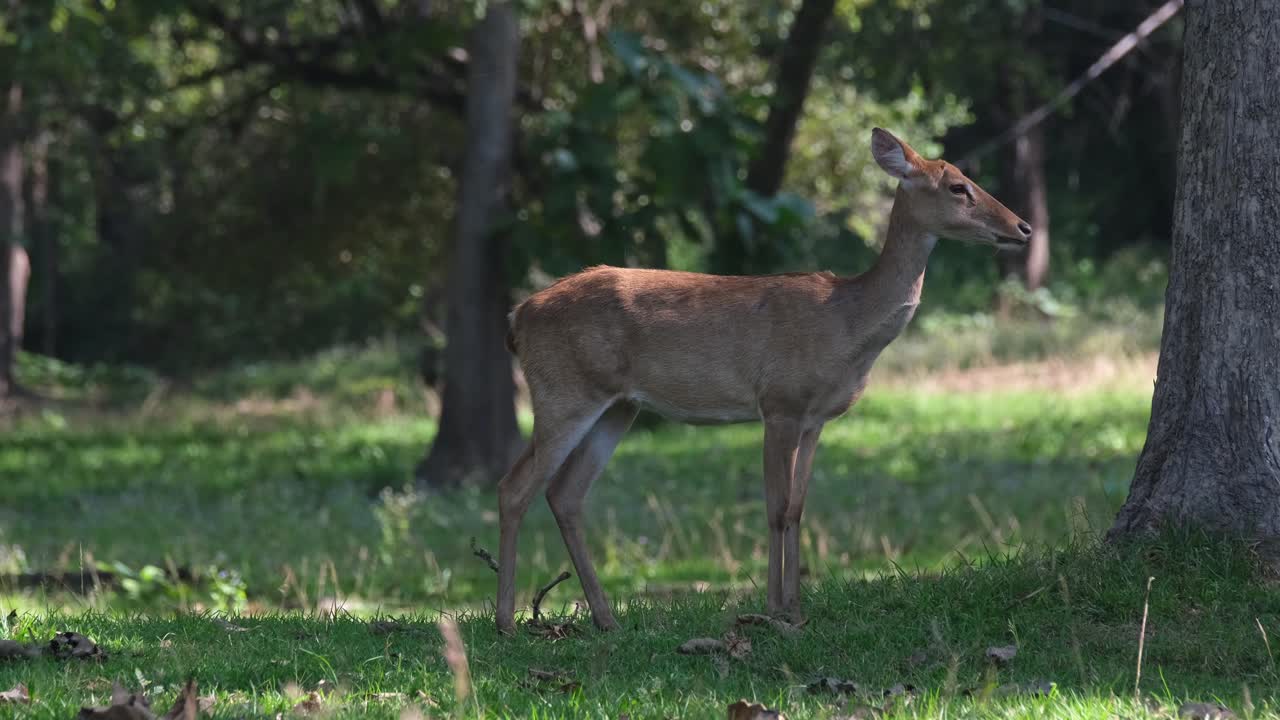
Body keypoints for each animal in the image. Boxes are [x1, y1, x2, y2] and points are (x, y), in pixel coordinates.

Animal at [494, 128, 1032, 634]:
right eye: (958, 186)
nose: (1023, 227)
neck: (847, 326)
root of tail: (518, 318)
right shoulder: (780, 403)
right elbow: (774, 507)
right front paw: (774, 609)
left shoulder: (816, 418)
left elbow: (796, 509)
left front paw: (795, 607)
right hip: (564, 392)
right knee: (514, 488)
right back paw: (506, 622)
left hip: (618, 406)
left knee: (565, 493)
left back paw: (605, 619)